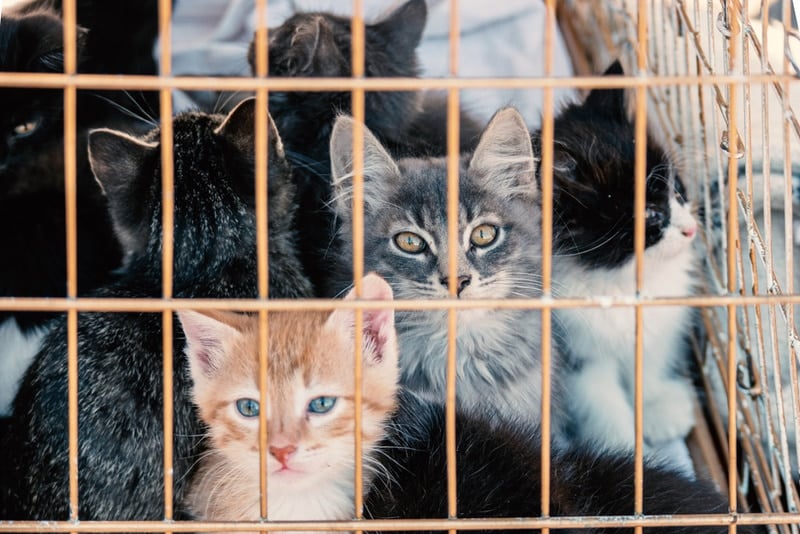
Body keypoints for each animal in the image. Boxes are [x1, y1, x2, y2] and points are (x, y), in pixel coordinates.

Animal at [544, 61, 700, 456]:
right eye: (651, 215)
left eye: (677, 190)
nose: (692, 229)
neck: (620, 282)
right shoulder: (575, 351)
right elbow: (601, 403)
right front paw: (626, 453)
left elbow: (650, 362)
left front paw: (660, 408)